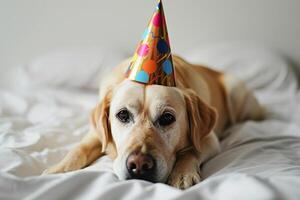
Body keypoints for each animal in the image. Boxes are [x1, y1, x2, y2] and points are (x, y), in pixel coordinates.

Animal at [43, 55, 264, 189]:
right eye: (122, 115)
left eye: (167, 118)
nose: (139, 164)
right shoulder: (97, 134)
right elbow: (80, 148)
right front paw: (59, 169)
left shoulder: (208, 139)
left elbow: (192, 150)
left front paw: (182, 174)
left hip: (236, 91)